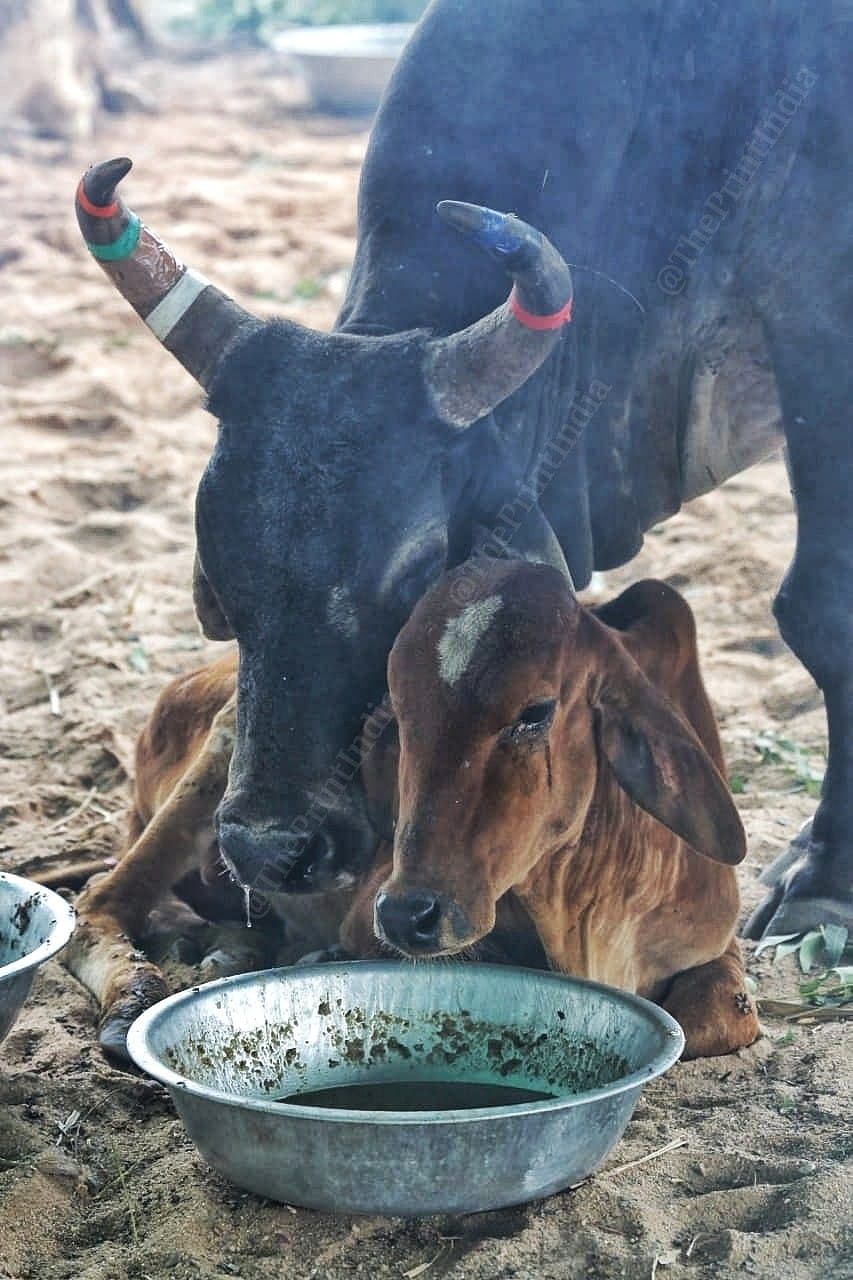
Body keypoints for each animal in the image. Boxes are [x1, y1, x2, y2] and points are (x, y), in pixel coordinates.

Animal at [76, 0, 845, 942]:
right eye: (217, 572)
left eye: (414, 574)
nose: (268, 848)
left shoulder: (820, 326)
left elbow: (818, 612)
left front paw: (820, 874)